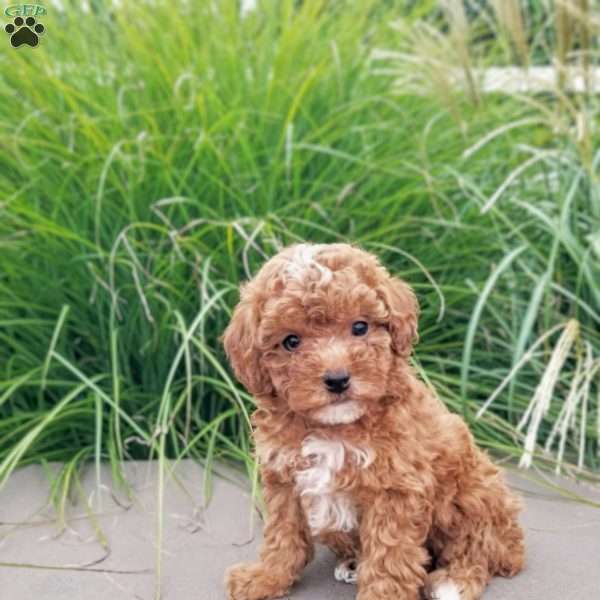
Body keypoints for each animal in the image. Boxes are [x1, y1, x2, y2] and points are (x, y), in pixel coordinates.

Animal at [223, 243, 524, 600]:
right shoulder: (284, 477)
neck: (332, 428)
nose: (337, 379)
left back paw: (455, 580)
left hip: (473, 495)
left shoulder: (394, 488)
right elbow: (283, 536)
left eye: (360, 327)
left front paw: (382, 594)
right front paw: (265, 577)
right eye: (291, 341)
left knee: (480, 547)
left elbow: (388, 555)